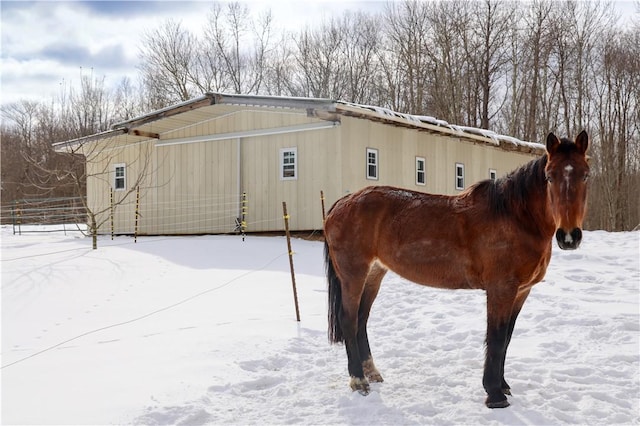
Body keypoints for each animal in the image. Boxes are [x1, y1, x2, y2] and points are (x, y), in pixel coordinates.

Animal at [324, 131, 592, 408]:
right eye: (549, 176)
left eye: (585, 174)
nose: (569, 236)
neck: (515, 217)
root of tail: (341, 203)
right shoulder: (501, 289)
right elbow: (496, 338)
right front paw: (494, 394)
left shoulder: (521, 292)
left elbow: (506, 338)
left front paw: (503, 386)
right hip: (354, 275)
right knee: (349, 320)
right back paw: (358, 381)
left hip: (374, 273)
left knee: (361, 320)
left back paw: (372, 373)